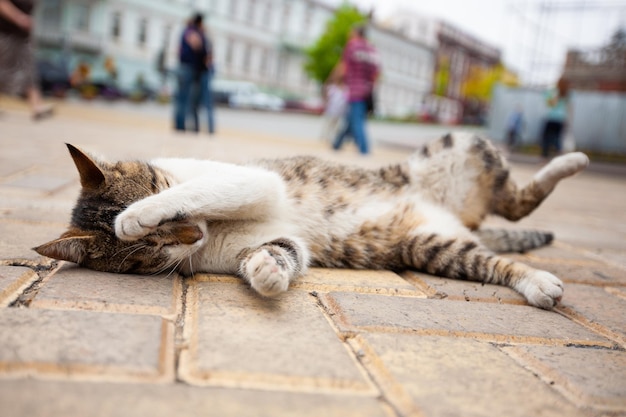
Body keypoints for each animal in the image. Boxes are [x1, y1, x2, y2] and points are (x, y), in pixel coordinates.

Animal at [35, 132, 588, 308]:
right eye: (151, 254)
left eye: (158, 186)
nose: (190, 234)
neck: (215, 232)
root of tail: (459, 217)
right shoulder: (271, 239)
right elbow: (281, 250)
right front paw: (266, 272)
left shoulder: (252, 180)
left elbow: (204, 187)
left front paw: (134, 214)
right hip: (432, 246)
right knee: (493, 255)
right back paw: (537, 284)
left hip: (460, 150)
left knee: (517, 200)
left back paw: (574, 160)